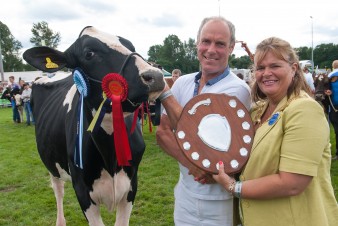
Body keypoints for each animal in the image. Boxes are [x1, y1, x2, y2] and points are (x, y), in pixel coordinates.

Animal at [22, 25, 165, 225]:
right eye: (89, 53)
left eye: (130, 45)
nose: (156, 75)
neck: (110, 154)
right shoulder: (82, 191)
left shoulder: (131, 185)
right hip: (51, 164)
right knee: (58, 191)